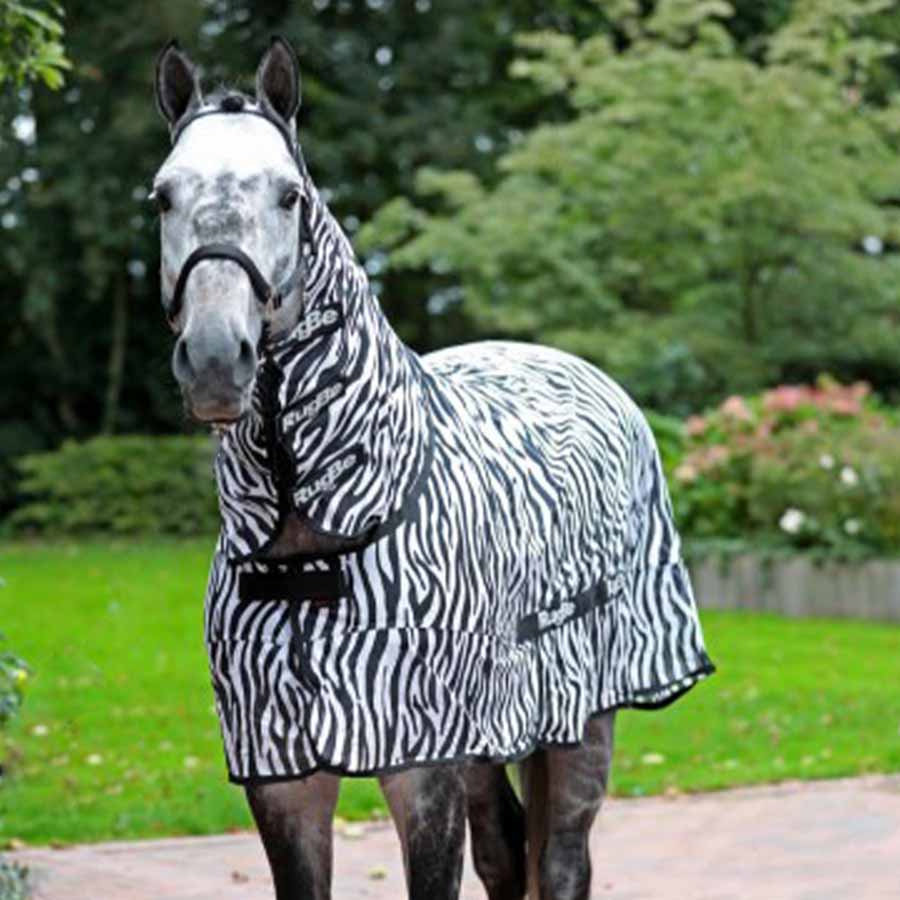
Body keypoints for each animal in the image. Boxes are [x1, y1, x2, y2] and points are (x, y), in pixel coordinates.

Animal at [152, 37, 714, 900]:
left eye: (289, 196)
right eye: (162, 198)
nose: (216, 359)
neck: (323, 542)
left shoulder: (423, 770)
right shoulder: (283, 778)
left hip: (585, 721)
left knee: (561, 860)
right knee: (506, 851)